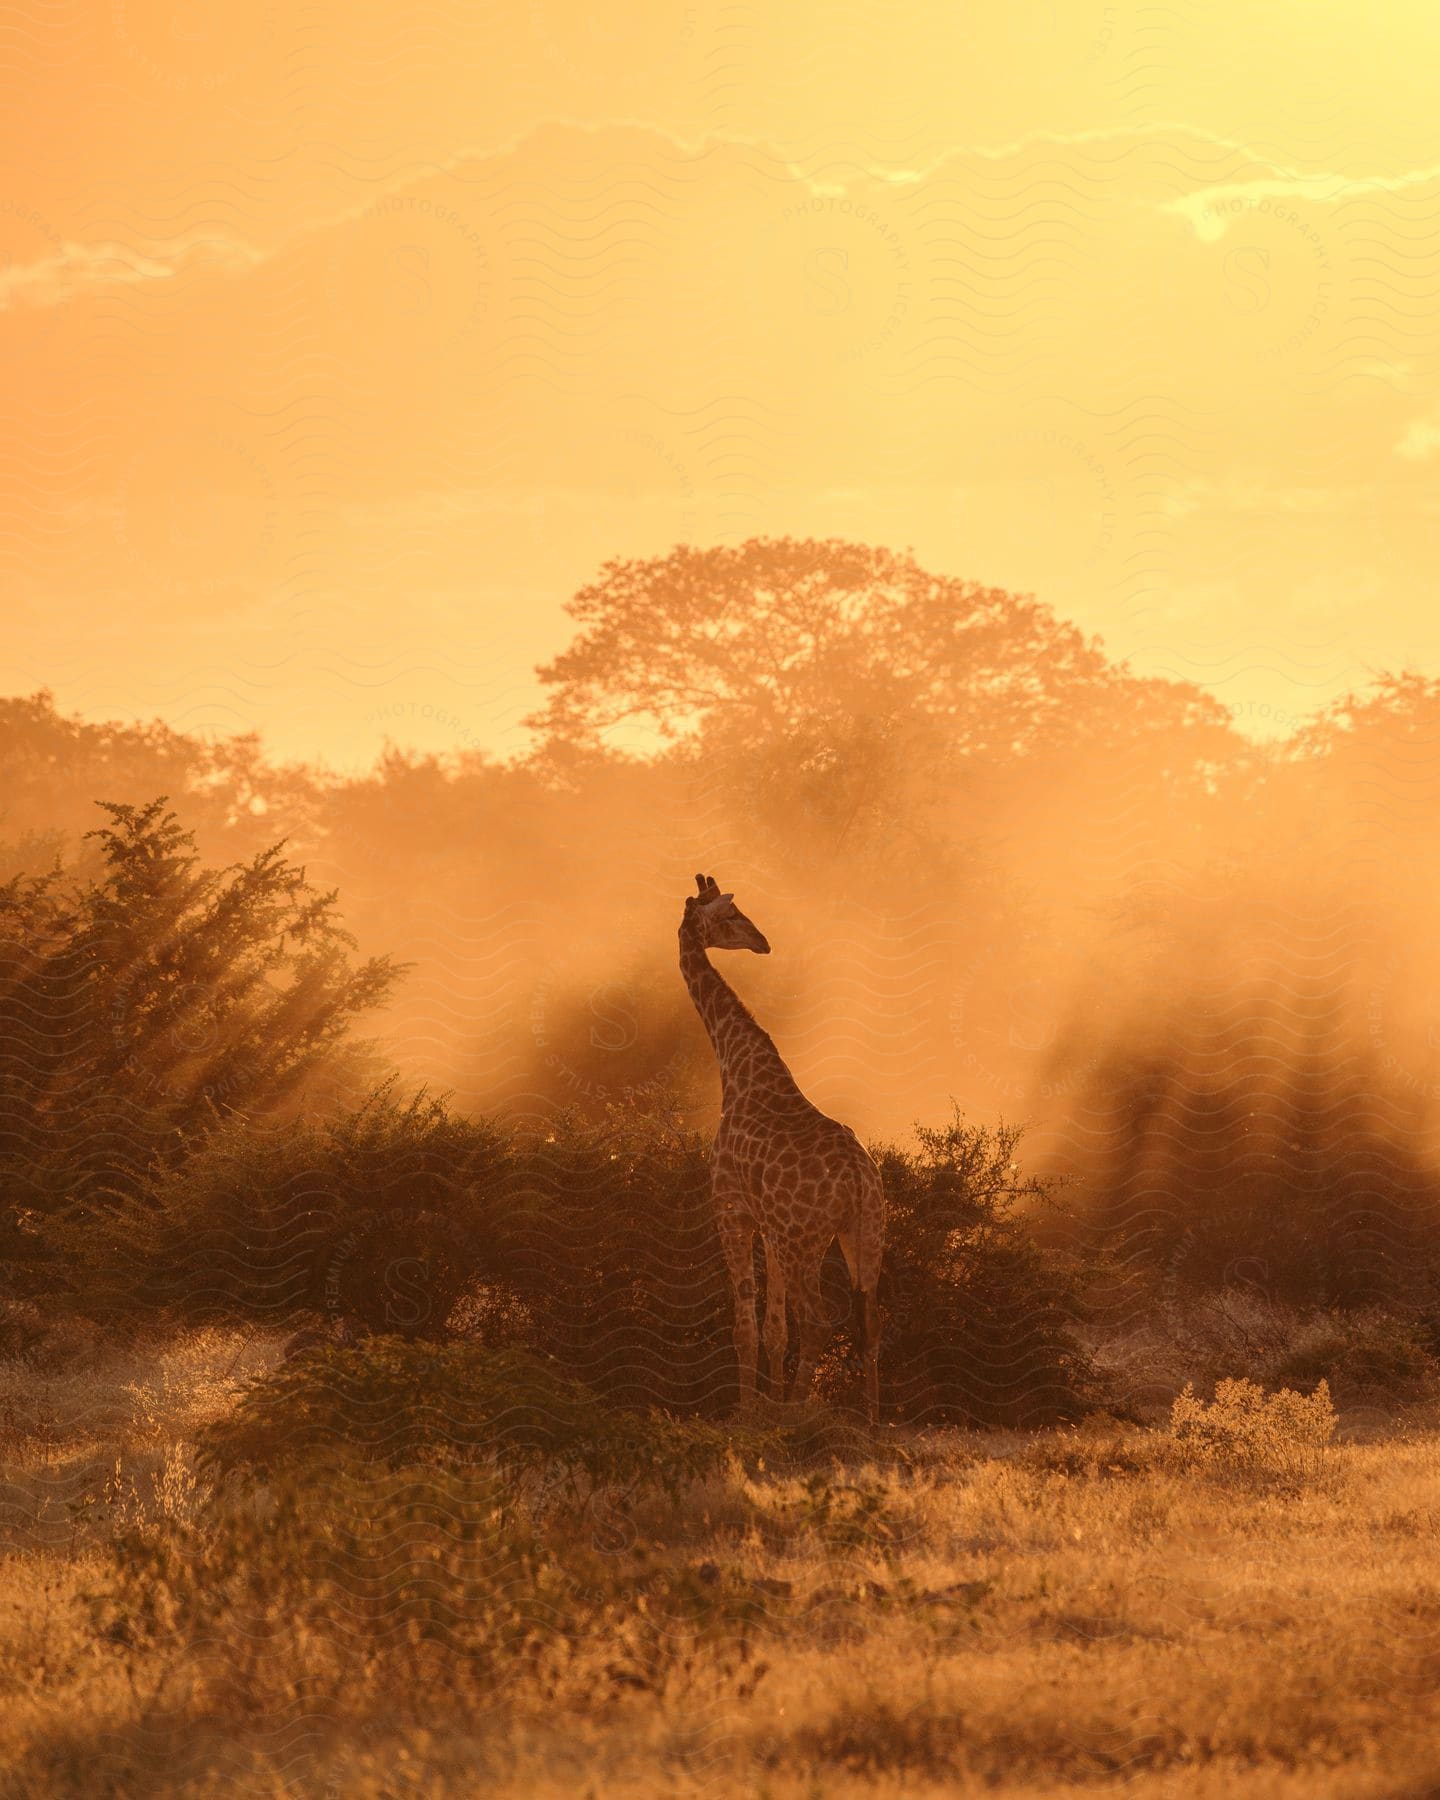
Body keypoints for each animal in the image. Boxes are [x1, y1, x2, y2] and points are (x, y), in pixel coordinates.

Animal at [676, 871, 889, 1418]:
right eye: (732, 914)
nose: (762, 941)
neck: (736, 1065)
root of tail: (858, 1180)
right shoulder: (768, 1228)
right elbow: (774, 1329)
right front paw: (764, 1405)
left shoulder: (731, 1209)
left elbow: (745, 1327)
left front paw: (748, 1413)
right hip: (864, 1232)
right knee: (871, 1322)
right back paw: (870, 1421)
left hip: (804, 1239)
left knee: (817, 1319)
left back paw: (797, 1412)